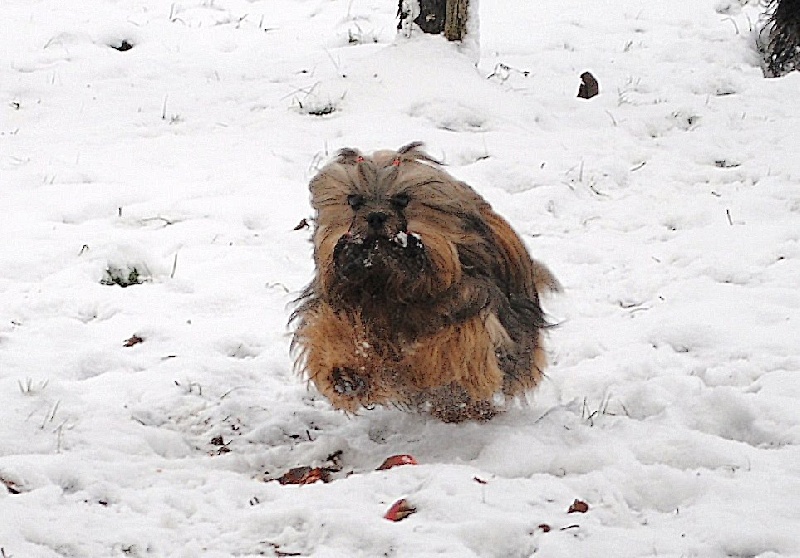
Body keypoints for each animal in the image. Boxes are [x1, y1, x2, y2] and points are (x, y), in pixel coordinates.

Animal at [290, 142, 560, 422]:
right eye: (354, 201)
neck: (387, 284)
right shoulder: (340, 301)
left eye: (402, 199)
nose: (375, 217)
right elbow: (333, 329)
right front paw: (348, 372)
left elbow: (452, 345)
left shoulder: (467, 310)